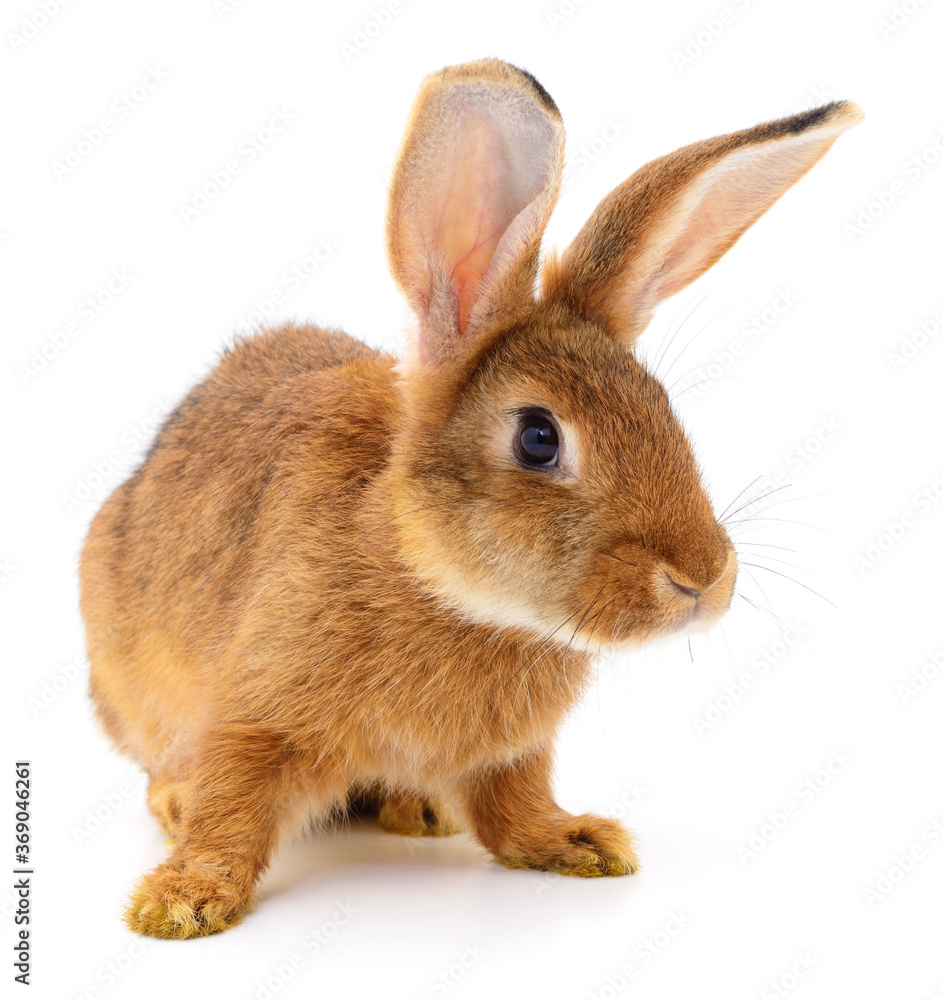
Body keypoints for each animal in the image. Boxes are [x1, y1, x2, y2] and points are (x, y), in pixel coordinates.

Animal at [80, 58, 862, 938]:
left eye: (663, 410)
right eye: (537, 438)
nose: (702, 579)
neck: (449, 591)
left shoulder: (512, 753)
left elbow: (512, 804)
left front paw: (577, 843)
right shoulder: (253, 714)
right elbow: (233, 808)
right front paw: (182, 902)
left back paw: (418, 810)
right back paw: (180, 805)